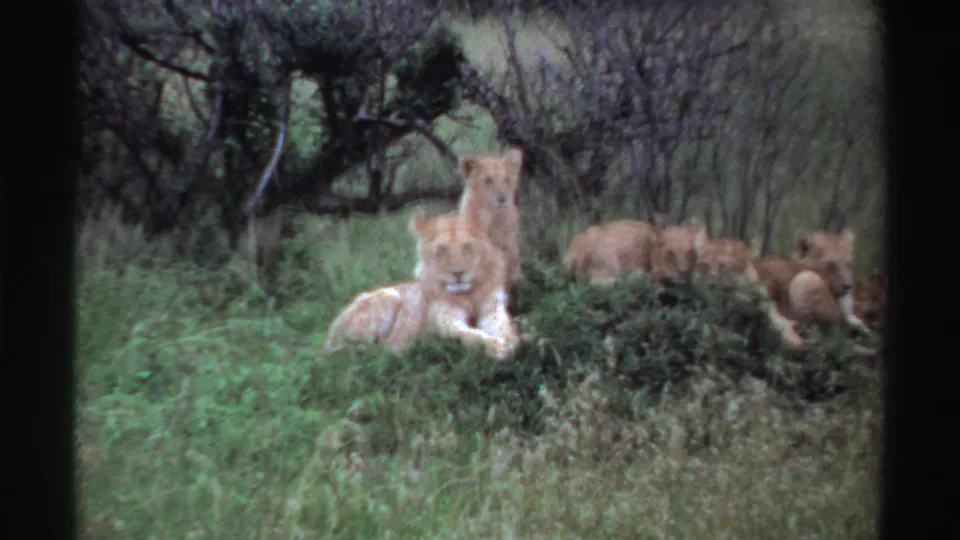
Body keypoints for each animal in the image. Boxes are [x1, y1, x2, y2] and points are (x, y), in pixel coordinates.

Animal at [325, 211, 519, 361]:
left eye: (467, 247)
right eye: (442, 250)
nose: (458, 273)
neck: (467, 295)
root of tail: (328, 339)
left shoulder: (492, 309)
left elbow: (503, 327)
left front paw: (511, 341)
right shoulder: (444, 320)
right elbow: (468, 335)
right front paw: (495, 347)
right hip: (389, 296)